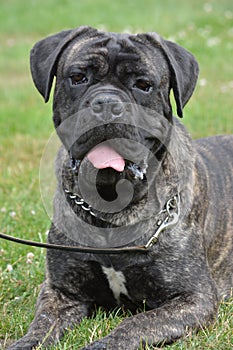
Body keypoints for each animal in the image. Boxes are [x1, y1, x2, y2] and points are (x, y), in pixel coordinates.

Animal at [8, 27, 232, 350]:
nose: (106, 103)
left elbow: (134, 324)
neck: (110, 206)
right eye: (78, 77)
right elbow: (42, 327)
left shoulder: (193, 297)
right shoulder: (60, 290)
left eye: (144, 85)